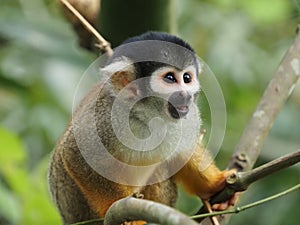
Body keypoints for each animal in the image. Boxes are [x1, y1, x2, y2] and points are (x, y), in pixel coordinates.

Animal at [48, 32, 237, 225]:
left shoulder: (189, 116)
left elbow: (184, 153)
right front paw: (120, 210)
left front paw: (214, 184)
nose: (185, 95)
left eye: (187, 78)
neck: (150, 116)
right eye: (170, 78)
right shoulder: (106, 118)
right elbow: (76, 154)